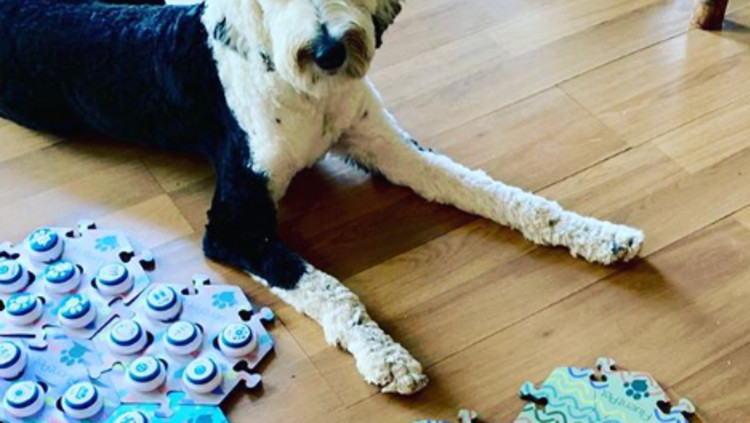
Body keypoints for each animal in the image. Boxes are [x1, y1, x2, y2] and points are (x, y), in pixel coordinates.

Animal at [0, 0, 645, 395]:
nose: (331, 50)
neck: (304, 90)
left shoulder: (391, 148)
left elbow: (495, 192)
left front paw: (595, 233)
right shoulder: (233, 224)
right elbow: (329, 287)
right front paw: (383, 355)